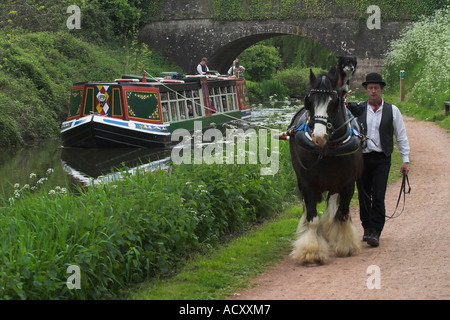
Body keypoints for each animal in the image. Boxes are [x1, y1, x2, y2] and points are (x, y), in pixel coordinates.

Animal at [288, 69, 366, 264]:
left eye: (333, 102)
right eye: (309, 101)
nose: (319, 137)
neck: (328, 151)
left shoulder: (348, 185)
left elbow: (343, 214)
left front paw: (345, 245)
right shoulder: (307, 184)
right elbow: (312, 218)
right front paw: (311, 251)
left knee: (332, 204)